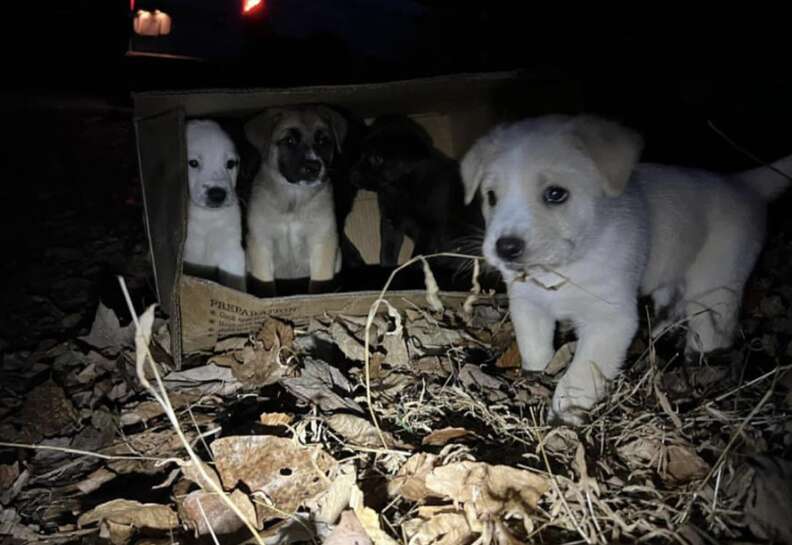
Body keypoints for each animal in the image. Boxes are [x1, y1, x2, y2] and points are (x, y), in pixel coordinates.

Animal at [244, 105, 346, 294]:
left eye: (323, 141)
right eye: (289, 140)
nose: (314, 167)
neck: (294, 198)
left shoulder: (322, 239)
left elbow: (320, 281)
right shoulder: (261, 241)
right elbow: (264, 281)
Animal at [352, 113, 486, 280]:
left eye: (377, 158)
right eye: (362, 154)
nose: (352, 175)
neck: (401, 190)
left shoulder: (430, 229)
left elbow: (418, 256)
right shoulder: (390, 221)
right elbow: (387, 250)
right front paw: (388, 270)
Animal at [460, 112, 788, 422]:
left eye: (555, 194)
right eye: (491, 196)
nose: (505, 248)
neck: (563, 271)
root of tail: (744, 184)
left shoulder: (611, 320)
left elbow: (581, 373)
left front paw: (563, 416)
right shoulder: (528, 305)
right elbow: (535, 349)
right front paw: (536, 377)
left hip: (715, 286)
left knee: (712, 330)